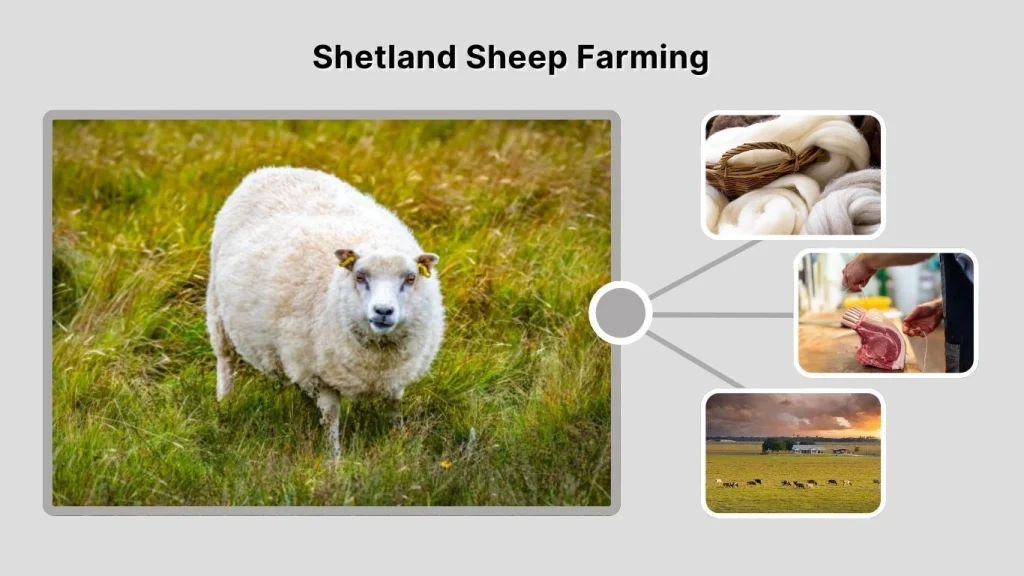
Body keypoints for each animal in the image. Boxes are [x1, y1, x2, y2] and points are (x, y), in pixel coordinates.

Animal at [206, 167, 445, 459]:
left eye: (411, 279)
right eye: (359, 276)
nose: (383, 311)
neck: (377, 358)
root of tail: (272, 170)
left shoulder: (397, 374)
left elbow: (394, 406)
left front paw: (399, 441)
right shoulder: (319, 374)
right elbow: (331, 417)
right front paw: (334, 459)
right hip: (217, 310)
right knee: (225, 360)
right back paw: (224, 402)